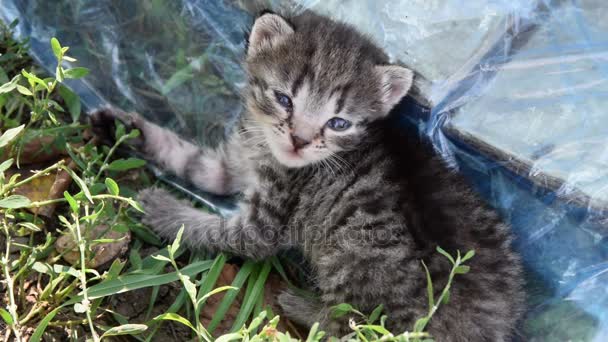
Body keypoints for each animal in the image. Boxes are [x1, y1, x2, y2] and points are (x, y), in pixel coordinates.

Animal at [92, 11, 524, 342]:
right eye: (284, 99)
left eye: (338, 123)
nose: (299, 140)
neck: (265, 150)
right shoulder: (231, 164)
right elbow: (190, 161)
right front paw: (126, 129)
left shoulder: (264, 224)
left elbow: (216, 230)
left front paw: (163, 210)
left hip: (352, 247)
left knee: (350, 325)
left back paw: (300, 305)